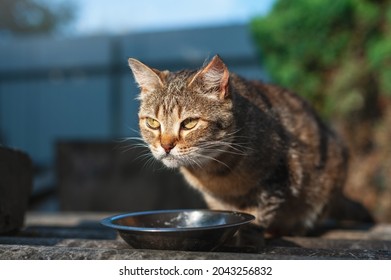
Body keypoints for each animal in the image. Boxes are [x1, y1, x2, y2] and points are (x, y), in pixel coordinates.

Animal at [129, 54, 370, 234]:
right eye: (152, 123)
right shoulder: (214, 198)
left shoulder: (278, 175)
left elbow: (258, 214)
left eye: (189, 123)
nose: (166, 146)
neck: (213, 172)